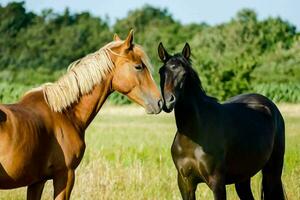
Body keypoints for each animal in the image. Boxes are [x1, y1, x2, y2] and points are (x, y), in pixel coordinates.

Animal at [158, 42, 284, 200]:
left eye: (184, 74)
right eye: (161, 72)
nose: (168, 102)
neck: (195, 134)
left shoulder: (217, 183)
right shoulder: (185, 183)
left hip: (272, 172)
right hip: (243, 177)